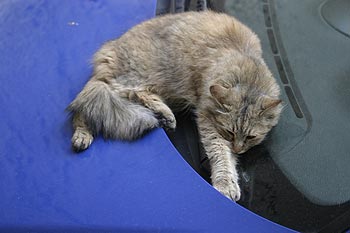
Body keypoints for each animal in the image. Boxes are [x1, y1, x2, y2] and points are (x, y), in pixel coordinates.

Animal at [67, 10, 282, 201]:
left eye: (251, 137)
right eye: (230, 132)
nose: (238, 149)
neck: (247, 70)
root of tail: (108, 50)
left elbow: (229, 159)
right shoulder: (207, 119)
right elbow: (220, 153)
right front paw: (225, 184)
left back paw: (165, 115)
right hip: (130, 80)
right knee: (89, 102)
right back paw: (83, 135)